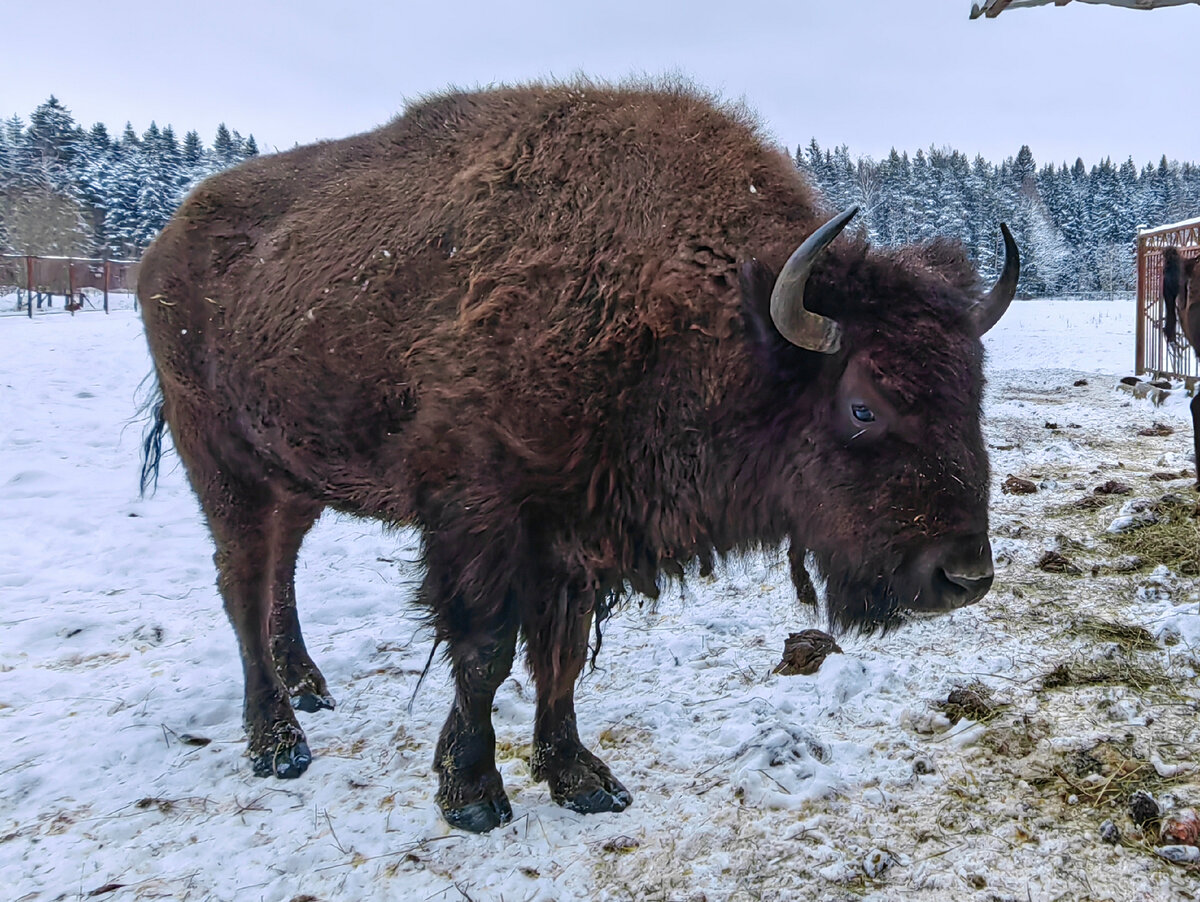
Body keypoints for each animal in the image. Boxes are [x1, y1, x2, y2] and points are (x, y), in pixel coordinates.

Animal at [140, 80, 1022, 834]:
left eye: (973, 388)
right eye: (863, 404)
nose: (963, 577)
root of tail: (161, 247)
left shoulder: (576, 536)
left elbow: (559, 656)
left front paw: (581, 778)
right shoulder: (482, 516)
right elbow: (485, 652)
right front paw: (472, 793)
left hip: (291, 475)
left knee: (279, 570)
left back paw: (309, 687)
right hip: (223, 468)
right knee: (244, 583)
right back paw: (278, 741)